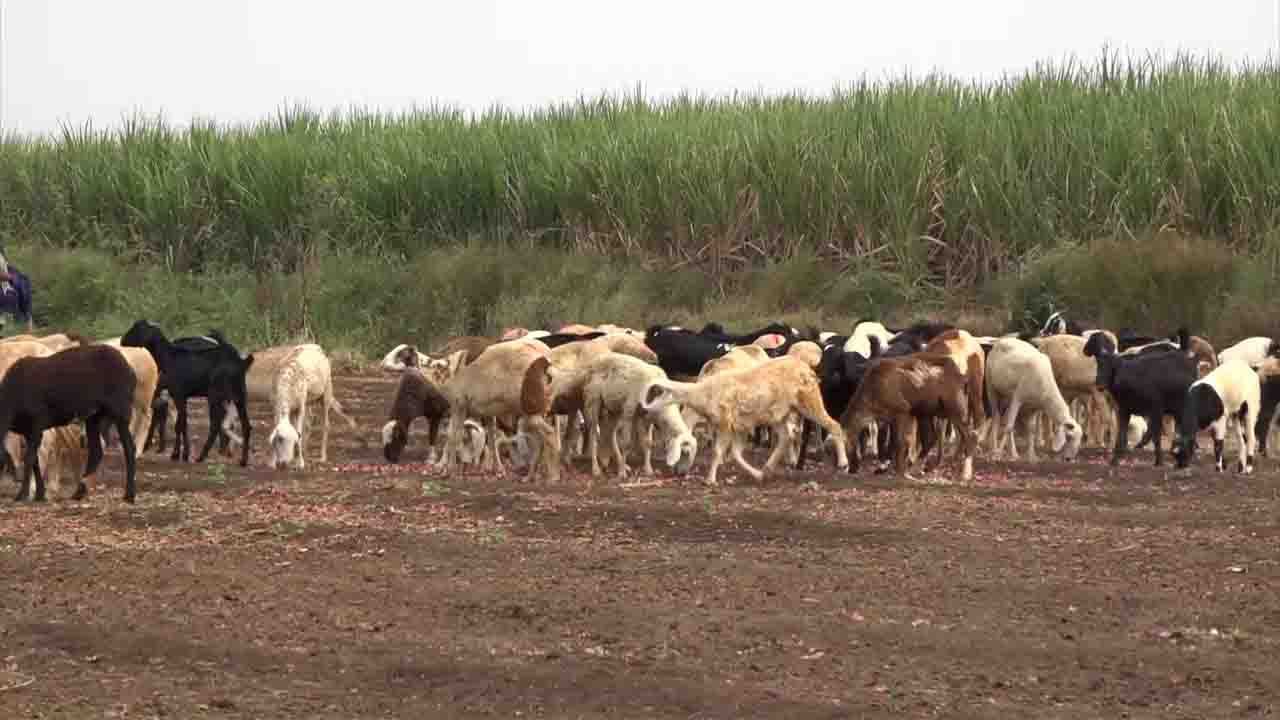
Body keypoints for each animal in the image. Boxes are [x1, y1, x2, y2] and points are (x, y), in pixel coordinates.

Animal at [120, 319, 256, 466]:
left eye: (137, 328)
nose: (122, 340)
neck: (169, 357)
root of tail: (241, 363)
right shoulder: (181, 396)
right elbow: (181, 423)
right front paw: (180, 454)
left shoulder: (178, 394)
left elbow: (181, 424)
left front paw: (180, 454)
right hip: (239, 394)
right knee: (246, 425)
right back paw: (243, 460)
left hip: (215, 395)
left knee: (215, 424)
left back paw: (201, 457)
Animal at [640, 353, 849, 481]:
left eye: (685, 451)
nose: (679, 473)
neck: (703, 395)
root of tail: (807, 368)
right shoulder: (739, 425)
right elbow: (736, 454)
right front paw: (756, 475)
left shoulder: (725, 423)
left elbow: (718, 451)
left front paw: (710, 480)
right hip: (778, 414)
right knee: (786, 437)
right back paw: (767, 468)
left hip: (809, 400)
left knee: (834, 425)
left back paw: (843, 464)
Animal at [844, 351, 972, 479]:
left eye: (847, 438)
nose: (851, 468)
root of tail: (963, 377)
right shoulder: (888, 419)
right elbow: (892, 443)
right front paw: (889, 469)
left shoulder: (903, 412)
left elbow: (900, 443)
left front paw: (899, 471)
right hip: (928, 412)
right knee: (932, 439)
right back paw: (922, 468)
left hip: (954, 408)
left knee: (968, 435)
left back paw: (961, 472)